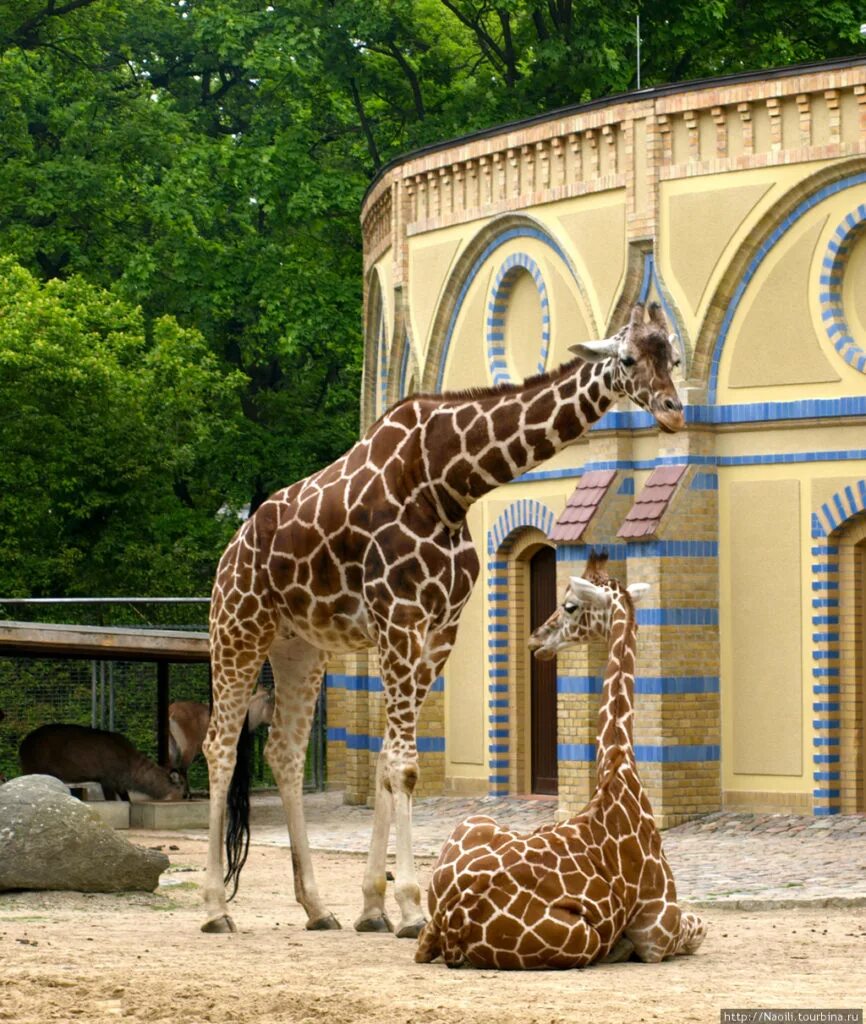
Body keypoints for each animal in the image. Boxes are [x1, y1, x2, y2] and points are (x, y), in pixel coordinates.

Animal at [19, 724, 185, 802]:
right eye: (181, 784)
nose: (187, 795)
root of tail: (23, 745)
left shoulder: (119, 783)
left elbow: (127, 800)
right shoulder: (107, 780)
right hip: (32, 768)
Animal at [201, 299, 683, 933]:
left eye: (673, 357)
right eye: (628, 358)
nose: (674, 412)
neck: (450, 482)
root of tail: (229, 549)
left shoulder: (438, 631)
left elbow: (390, 760)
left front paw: (373, 906)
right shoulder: (398, 619)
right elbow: (404, 766)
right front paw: (409, 905)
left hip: (300, 648)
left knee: (282, 751)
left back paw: (317, 907)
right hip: (237, 629)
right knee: (220, 745)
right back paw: (214, 908)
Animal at [417, 552, 708, 966]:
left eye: (570, 605)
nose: (536, 638)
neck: (618, 765)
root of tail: (452, 920)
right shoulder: (657, 929)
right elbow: (700, 927)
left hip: (473, 824)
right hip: (583, 940)